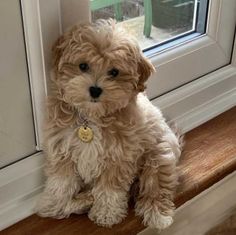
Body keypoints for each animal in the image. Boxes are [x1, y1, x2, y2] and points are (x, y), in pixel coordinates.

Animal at [36, 19, 182, 229]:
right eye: (83, 66)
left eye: (114, 72)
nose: (95, 89)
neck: (91, 118)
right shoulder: (61, 148)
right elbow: (61, 183)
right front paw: (54, 204)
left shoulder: (119, 156)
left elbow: (109, 189)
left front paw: (106, 213)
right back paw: (85, 199)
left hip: (159, 154)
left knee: (156, 186)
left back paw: (157, 214)